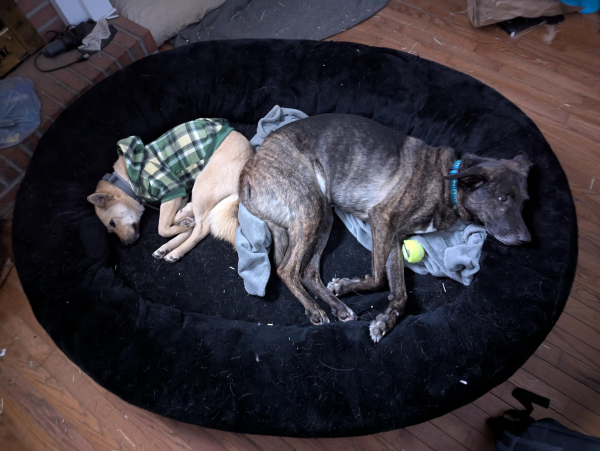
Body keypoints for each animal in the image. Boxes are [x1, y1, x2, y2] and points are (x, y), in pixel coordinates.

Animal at [88, 131, 252, 262]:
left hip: (201, 184)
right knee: (194, 225)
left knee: (201, 228)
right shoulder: (178, 196)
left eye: (112, 223)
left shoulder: (172, 190)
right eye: (110, 230)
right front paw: (182, 218)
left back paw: (177, 249)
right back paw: (168, 245)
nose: (127, 245)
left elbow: (162, 228)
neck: (126, 182)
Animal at [237, 113, 532, 342]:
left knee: (307, 271)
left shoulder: (394, 238)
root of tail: (248, 169)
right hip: (311, 208)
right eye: (503, 198)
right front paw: (348, 286)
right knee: (287, 269)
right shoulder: (383, 220)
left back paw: (338, 307)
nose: (527, 240)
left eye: (524, 201)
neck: (448, 180)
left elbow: (400, 293)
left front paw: (385, 320)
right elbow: (379, 277)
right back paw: (315, 309)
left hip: (324, 217)